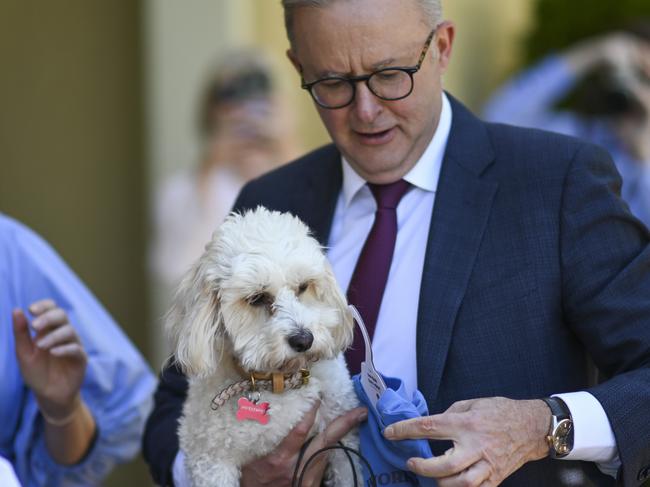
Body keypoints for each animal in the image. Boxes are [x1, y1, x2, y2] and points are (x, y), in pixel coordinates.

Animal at [166, 207, 360, 487]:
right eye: (257, 298)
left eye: (303, 287)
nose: (304, 340)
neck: (278, 381)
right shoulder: (212, 462)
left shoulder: (344, 444)